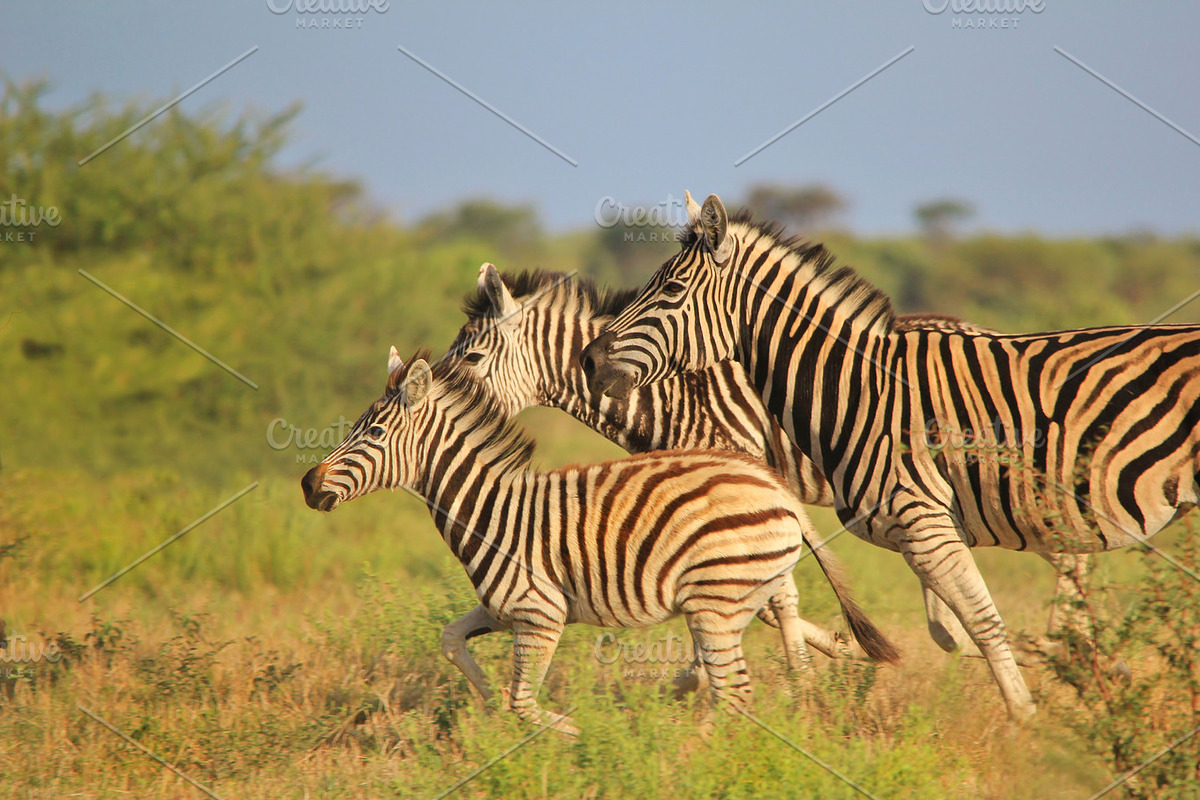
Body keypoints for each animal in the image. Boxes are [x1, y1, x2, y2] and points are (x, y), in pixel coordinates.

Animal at [301, 349, 898, 732]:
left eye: (375, 433)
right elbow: (452, 641)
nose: (308, 484)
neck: (490, 510)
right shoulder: (503, 609)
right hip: (741, 588)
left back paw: (686, 754)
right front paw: (489, 702)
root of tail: (775, 487)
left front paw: (579, 733)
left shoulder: (539, 612)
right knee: (775, 632)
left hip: (717, 600)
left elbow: (523, 702)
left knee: (735, 693)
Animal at [453, 262, 1088, 664]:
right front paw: (835, 650)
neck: (668, 391)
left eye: (473, 357)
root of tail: (983, 330)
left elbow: (772, 597)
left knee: (1065, 550)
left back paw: (1064, 650)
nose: (437, 390)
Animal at [580, 191, 1200, 719]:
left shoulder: (924, 521)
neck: (860, 388)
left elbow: (982, 624)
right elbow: (952, 629)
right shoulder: (918, 532)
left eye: (670, 291)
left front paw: (1026, 723)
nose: (588, 359)